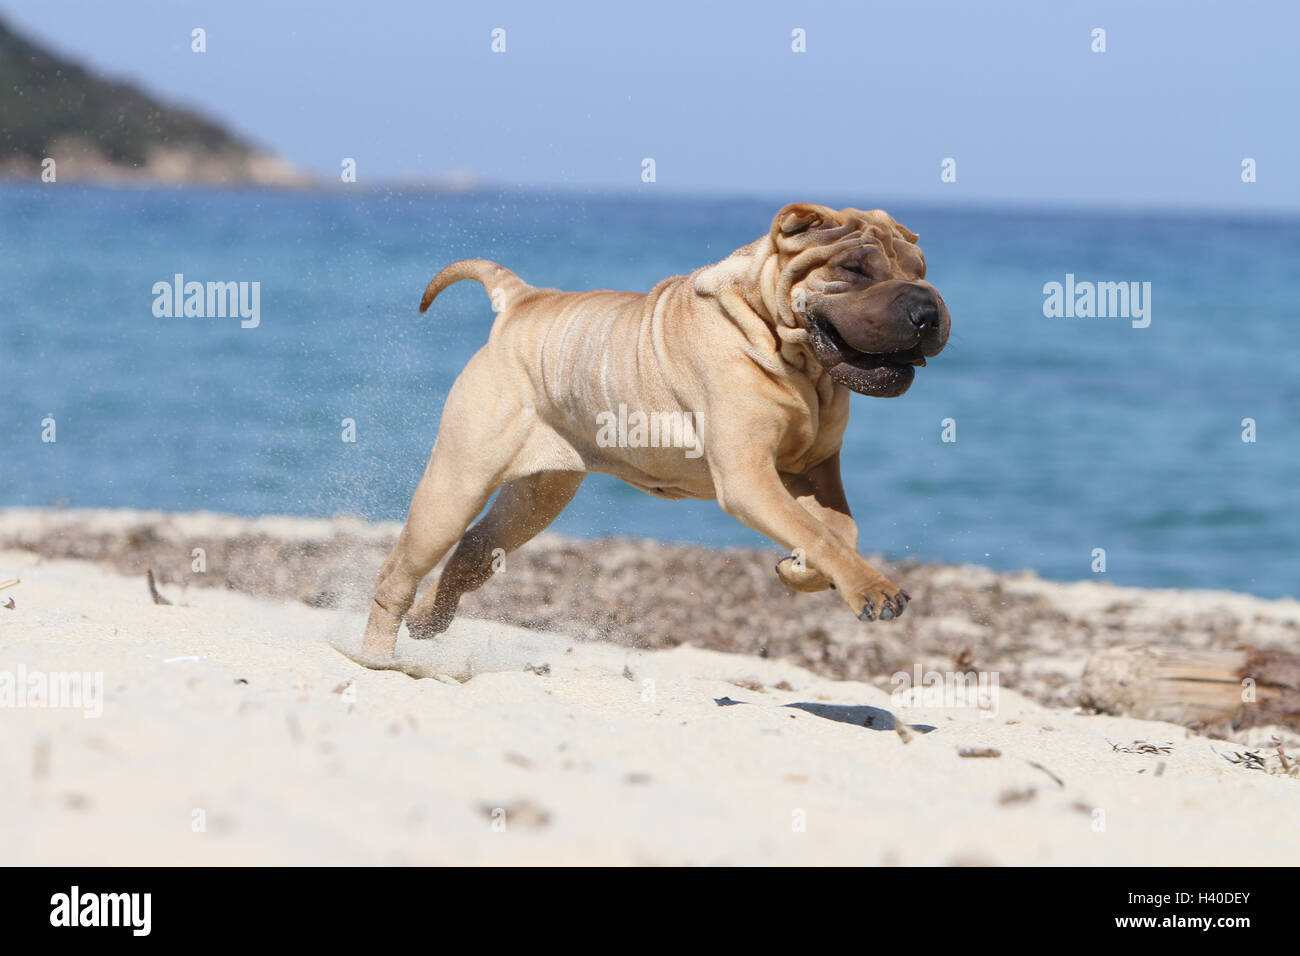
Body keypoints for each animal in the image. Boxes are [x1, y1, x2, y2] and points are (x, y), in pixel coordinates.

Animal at [361, 201, 951, 660]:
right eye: (854, 268)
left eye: (921, 268)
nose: (928, 309)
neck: (794, 359)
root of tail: (525, 300)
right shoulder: (749, 478)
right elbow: (818, 533)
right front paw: (872, 588)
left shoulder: (815, 470)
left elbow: (839, 532)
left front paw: (799, 571)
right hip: (454, 487)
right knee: (396, 574)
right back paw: (377, 659)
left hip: (533, 502)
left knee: (470, 555)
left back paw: (428, 619)